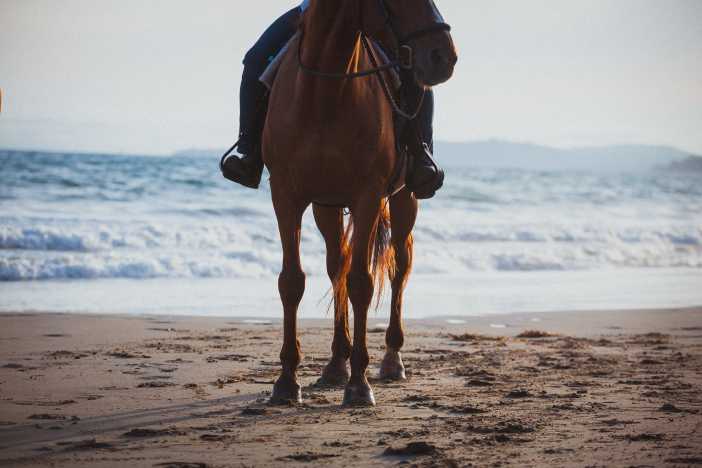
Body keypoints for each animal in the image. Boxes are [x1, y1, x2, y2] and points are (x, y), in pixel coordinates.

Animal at [262, 0, 457, 406]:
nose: (444, 56)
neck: (326, 92)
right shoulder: (286, 196)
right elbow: (292, 282)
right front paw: (287, 381)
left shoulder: (368, 195)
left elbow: (362, 283)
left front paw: (359, 383)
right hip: (326, 207)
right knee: (337, 265)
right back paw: (336, 362)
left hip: (404, 201)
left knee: (399, 266)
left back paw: (391, 360)